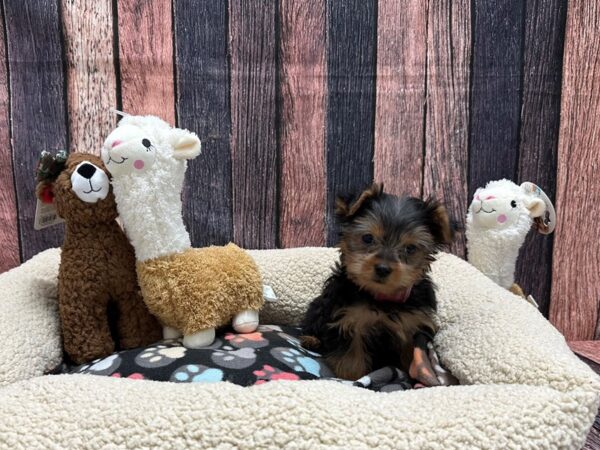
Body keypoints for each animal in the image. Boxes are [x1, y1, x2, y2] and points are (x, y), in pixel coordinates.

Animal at [302, 183, 452, 384]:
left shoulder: (413, 326)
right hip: (319, 307)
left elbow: (411, 356)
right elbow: (350, 359)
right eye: (367, 238)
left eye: (410, 248)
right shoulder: (348, 320)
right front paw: (351, 379)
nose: (382, 268)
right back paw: (311, 339)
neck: (383, 297)